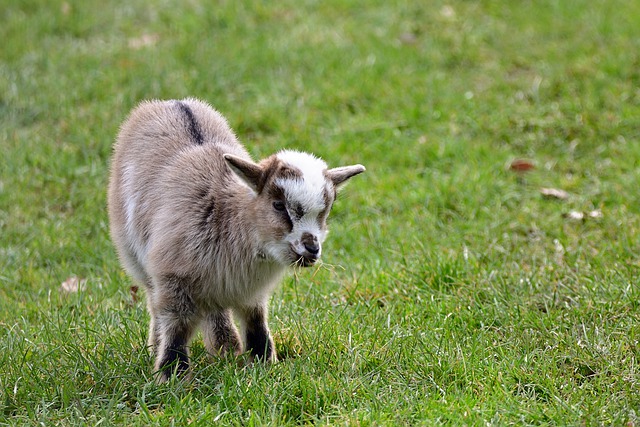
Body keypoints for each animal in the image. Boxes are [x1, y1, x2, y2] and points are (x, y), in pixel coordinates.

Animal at [107, 98, 362, 382]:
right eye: (277, 205)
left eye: (326, 210)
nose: (312, 248)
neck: (228, 215)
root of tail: (170, 102)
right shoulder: (174, 278)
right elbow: (176, 327)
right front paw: (171, 375)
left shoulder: (250, 291)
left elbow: (256, 321)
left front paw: (263, 363)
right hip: (138, 260)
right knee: (156, 304)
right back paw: (161, 347)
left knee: (215, 310)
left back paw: (226, 350)